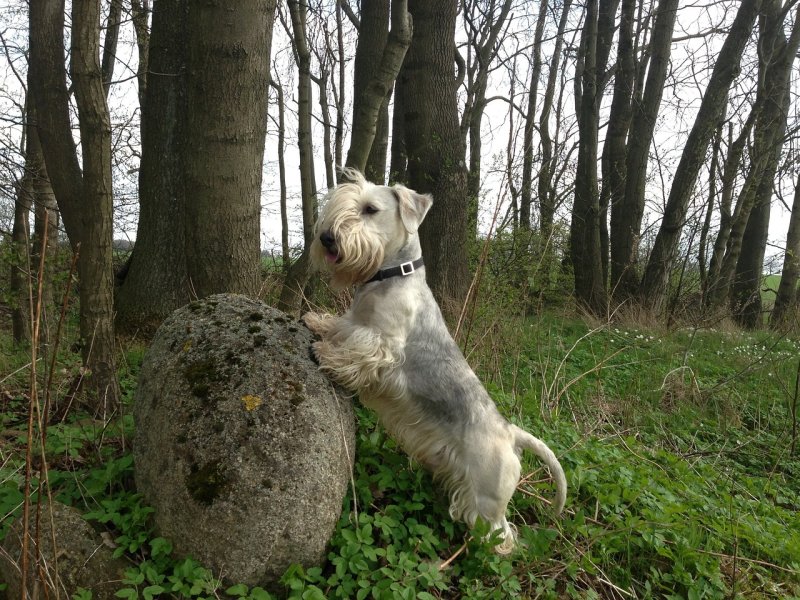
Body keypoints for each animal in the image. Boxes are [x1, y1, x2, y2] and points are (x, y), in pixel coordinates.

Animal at [302, 169, 568, 552]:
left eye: (370, 209)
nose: (326, 238)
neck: (391, 275)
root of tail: (510, 433)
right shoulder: (356, 322)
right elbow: (339, 326)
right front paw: (317, 322)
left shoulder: (383, 344)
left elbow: (356, 353)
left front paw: (328, 355)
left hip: (487, 499)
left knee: (502, 534)